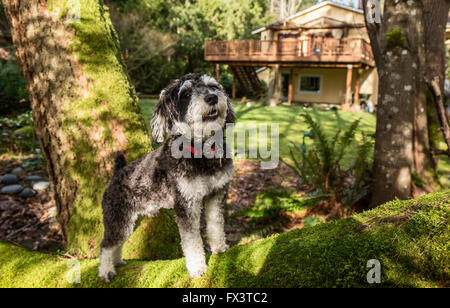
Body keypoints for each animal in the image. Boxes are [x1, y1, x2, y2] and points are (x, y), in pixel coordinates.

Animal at [99, 73, 236, 282]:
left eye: (213, 86)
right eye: (186, 94)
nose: (212, 97)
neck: (201, 153)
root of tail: (117, 172)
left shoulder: (216, 194)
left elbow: (216, 224)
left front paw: (219, 248)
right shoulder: (186, 204)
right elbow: (191, 241)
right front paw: (197, 268)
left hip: (130, 220)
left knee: (117, 243)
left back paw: (117, 262)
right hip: (117, 217)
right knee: (106, 245)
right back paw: (106, 270)